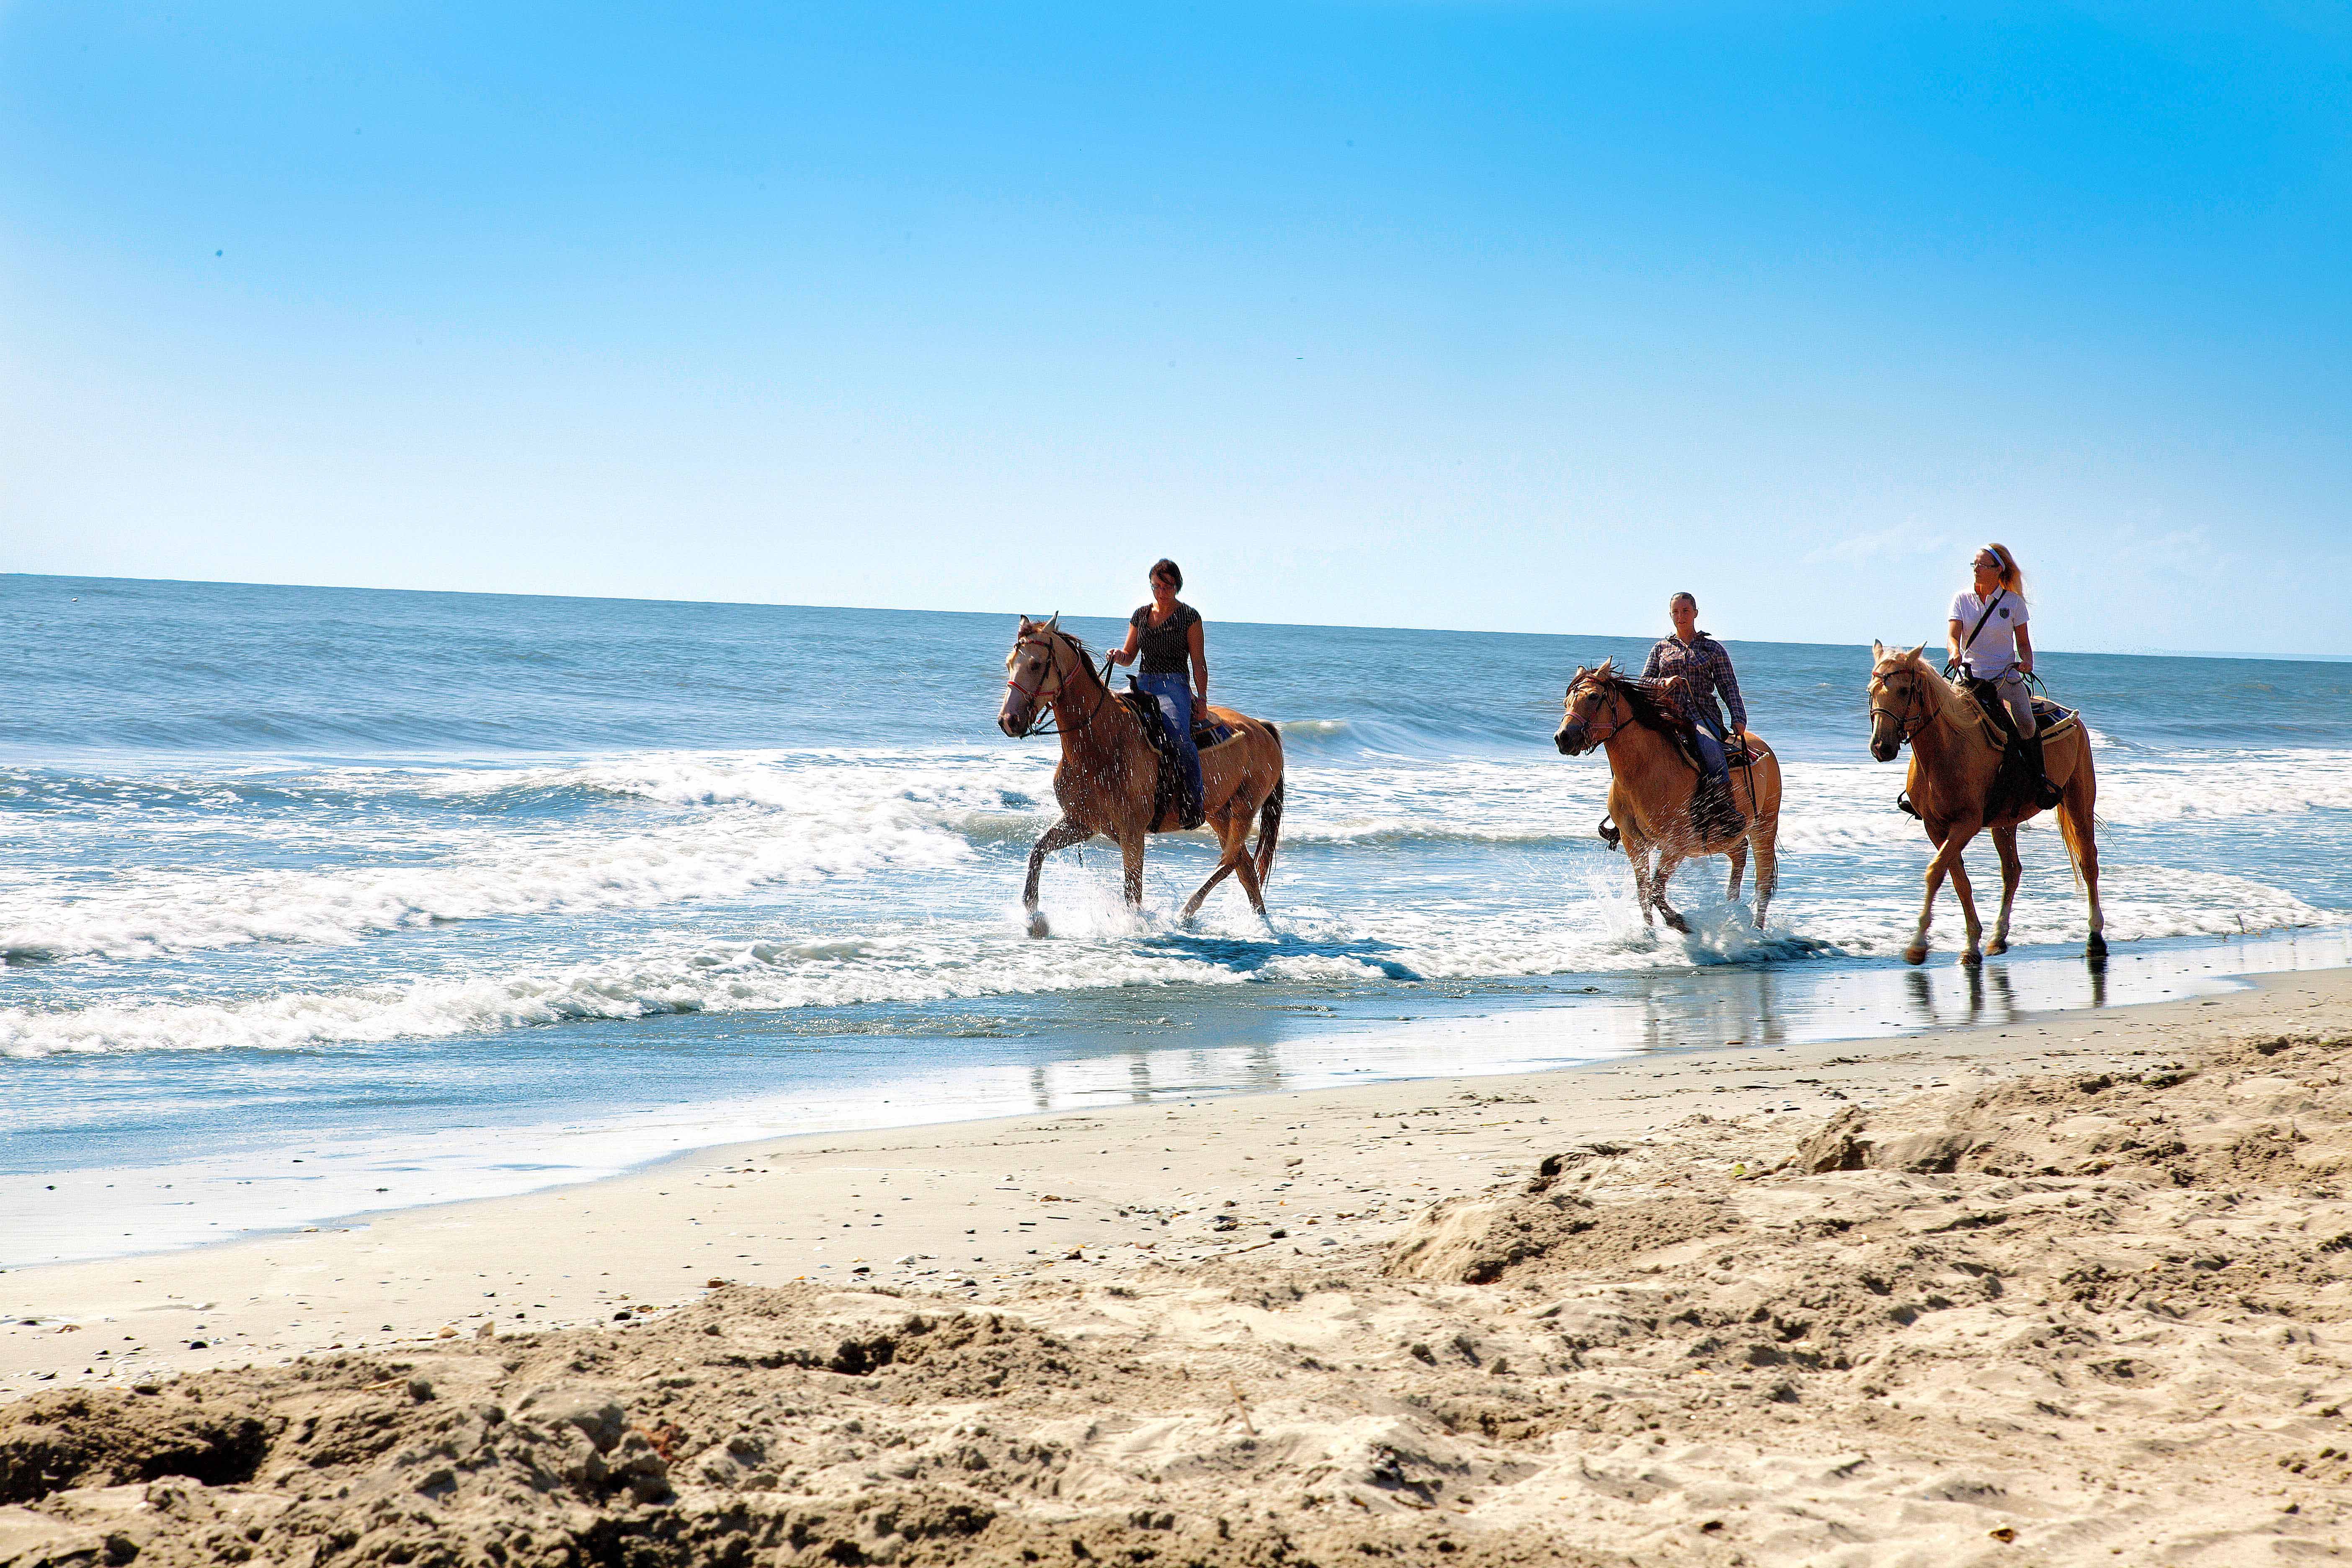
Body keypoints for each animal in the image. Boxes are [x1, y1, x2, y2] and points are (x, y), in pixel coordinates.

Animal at [992, 616, 1289, 940]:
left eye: (1035, 665)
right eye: (1009, 663)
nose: (1008, 721)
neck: (1103, 739)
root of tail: (1261, 727)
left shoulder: (1132, 832)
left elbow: (1132, 892)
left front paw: (1134, 927)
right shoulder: (1082, 823)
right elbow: (1037, 852)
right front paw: (1035, 919)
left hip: (1244, 810)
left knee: (1231, 860)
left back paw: (1187, 911)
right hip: (1219, 813)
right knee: (1244, 867)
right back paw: (1258, 923)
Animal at [1552, 658, 1787, 931]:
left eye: (1593, 696)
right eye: (1566, 702)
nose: (1563, 738)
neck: (1645, 770)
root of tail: (1764, 749)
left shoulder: (1676, 846)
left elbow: (1656, 890)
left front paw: (1679, 922)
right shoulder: (1634, 842)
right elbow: (1644, 892)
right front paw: (1649, 933)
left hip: (1765, 826)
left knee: (1763, 882)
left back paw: (1756, 932)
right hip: (1725, 837)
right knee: (1739, 855)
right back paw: (1731, 911)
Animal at [1862, 639, 2107, 968]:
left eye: (1903, 691)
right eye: (1871, 690)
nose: (1881, 747)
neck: (1947, 748)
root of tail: (2071, 717)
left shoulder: (1967, 824)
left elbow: (1935, 872)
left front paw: (1918, 945)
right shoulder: (1936, 827)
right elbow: (1957, 879)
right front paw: (1971, 944)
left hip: (2079, 800)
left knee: (2088, 862)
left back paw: (2095, 937)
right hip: (2006, 822)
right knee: (2012, 871)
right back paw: (1997, 937)